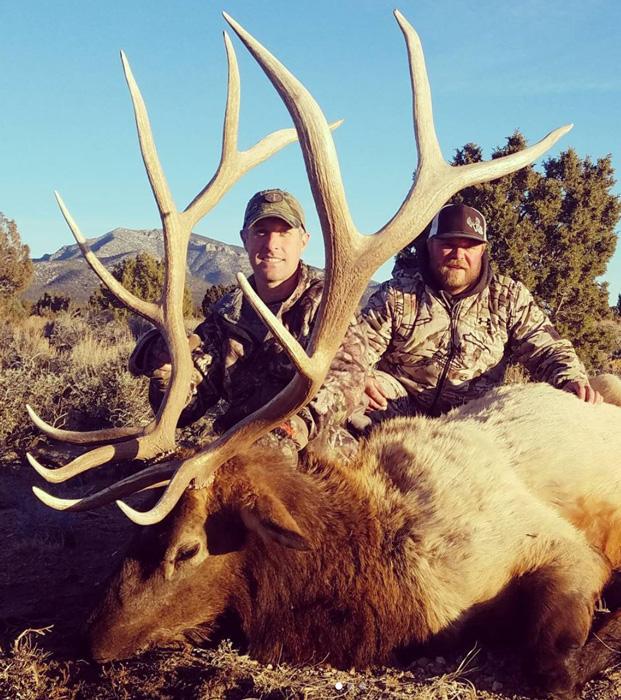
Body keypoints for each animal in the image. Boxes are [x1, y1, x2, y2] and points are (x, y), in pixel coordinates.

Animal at [27, 10, 621, 700]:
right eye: (134, 536)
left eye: (188, 548)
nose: (89, 639)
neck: (381, 560)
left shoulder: (560, 548)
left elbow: (553, 667)